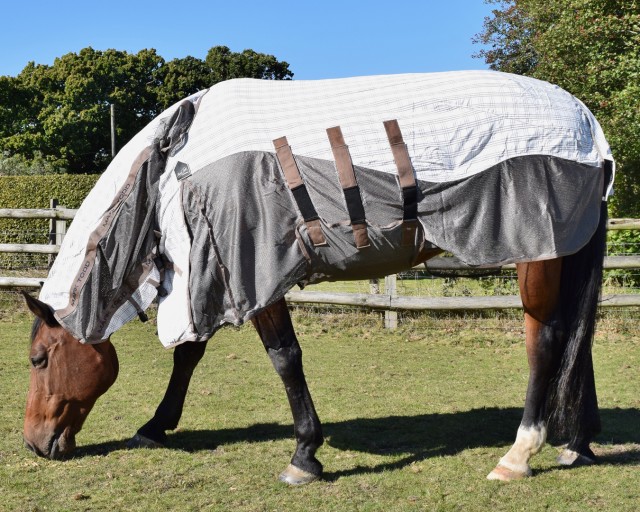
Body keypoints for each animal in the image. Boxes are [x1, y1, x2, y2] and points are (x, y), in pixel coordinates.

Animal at [22, 72, 612, 484]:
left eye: (40, 359)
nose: (32, 442)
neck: (173, 166)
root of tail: (587, 126)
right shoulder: (220, 277)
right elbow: (189, 355)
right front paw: (154, 426)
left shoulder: (252, 273)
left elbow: (285, 359)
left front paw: (304, 455)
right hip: (565, 252)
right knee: (577, 340)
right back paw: (577, 444)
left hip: (537, 253)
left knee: (547, 341)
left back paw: (519, 454)